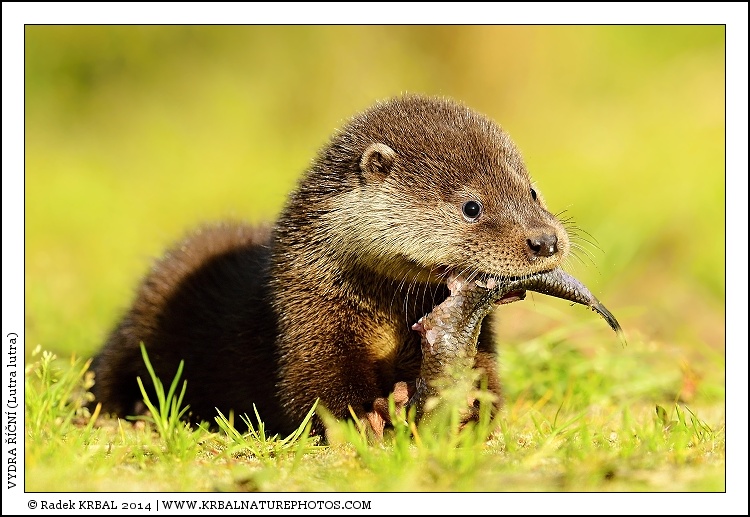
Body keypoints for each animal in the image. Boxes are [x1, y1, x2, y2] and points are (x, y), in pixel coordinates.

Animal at [90, 94, 570, 437]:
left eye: (531, 192)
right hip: (143, 317)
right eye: (472, 206)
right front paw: (371, 414)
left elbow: (490, 383)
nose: (545, 240)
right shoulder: (310, 323)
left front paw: (465, 404)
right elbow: (314, 391)